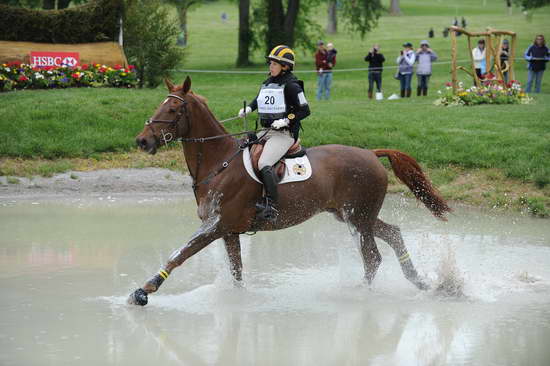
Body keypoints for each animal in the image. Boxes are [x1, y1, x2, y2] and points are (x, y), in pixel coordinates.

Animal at [129, 76, 452, 306]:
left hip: (357, 218)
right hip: (355, 216)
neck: (219, 161)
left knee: (372, 257)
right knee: (393, 234)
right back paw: (421, 282)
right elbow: (236, 270)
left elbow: (180, 253)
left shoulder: (216, 225)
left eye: (172, 109)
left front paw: (144, 290)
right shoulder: (229, 231)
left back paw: (359, 293)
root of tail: (372, 153)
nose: (142, 141)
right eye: (159, 106)